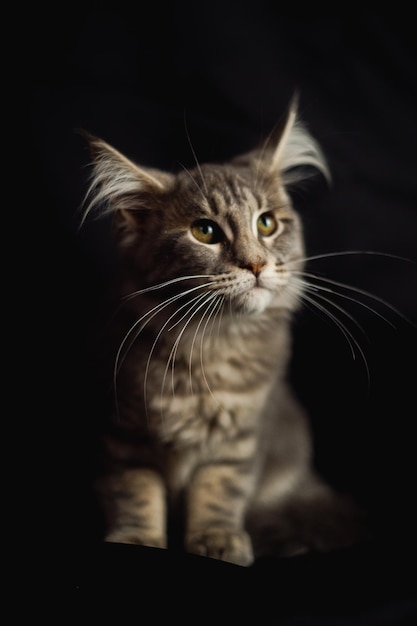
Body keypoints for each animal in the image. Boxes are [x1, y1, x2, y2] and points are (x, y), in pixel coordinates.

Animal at [80, 97, 364, 564]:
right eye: (205, 231)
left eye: (266, 224)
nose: (256, 264)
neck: (210, 343)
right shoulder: (122, 430)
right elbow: (134, 492)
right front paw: (136, 538)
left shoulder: (242, 438)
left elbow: (219, 492)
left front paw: (217, 538)